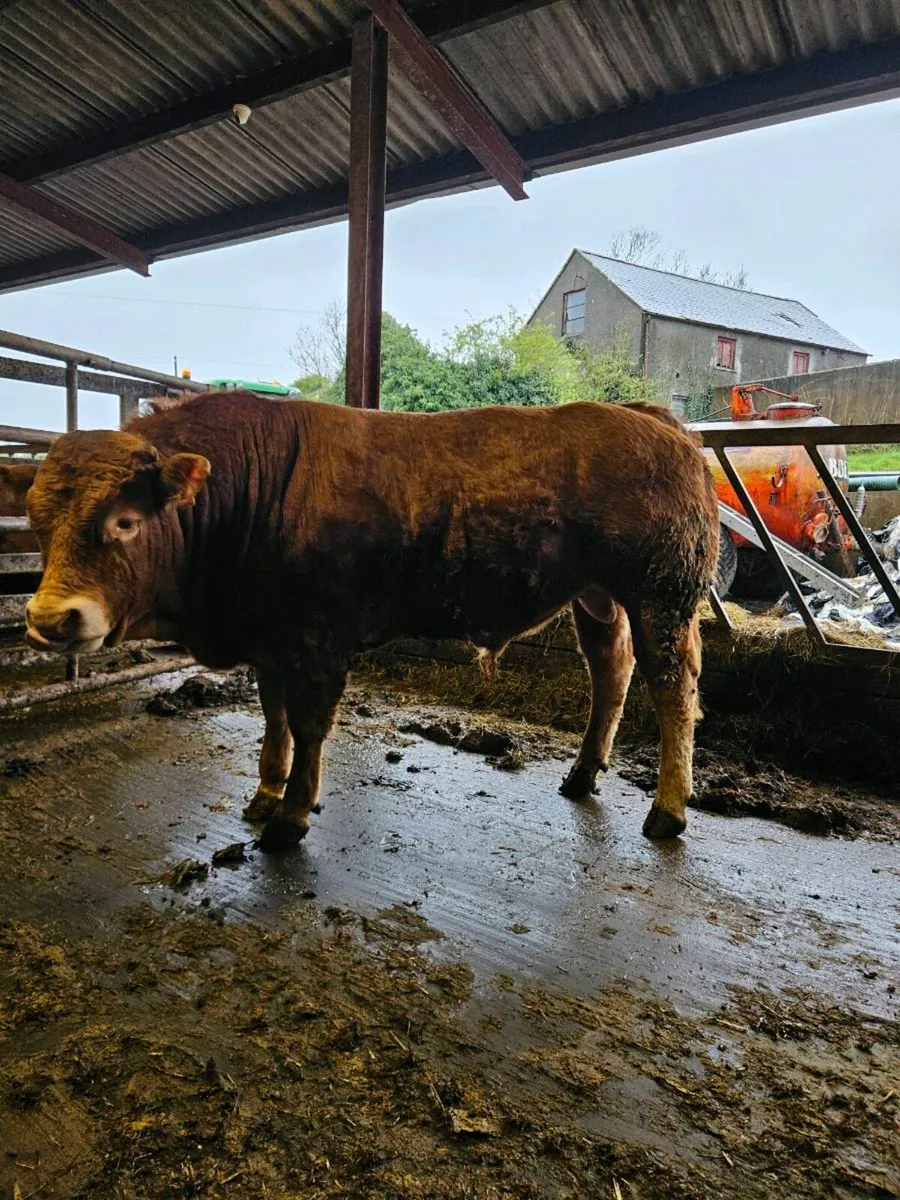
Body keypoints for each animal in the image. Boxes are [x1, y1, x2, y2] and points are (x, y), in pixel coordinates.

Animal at [23, 391, 718, 852]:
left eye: (124, 520)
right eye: (36, 520)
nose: (50, 618)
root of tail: (649, 416)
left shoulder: (317, 639)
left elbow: (307, 723)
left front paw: (290, 817)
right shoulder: (271, 640)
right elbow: (273, 715)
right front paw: (264, 795)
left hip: (663, 596)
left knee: (672, 688)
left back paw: (667, 810)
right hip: (598, 598)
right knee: (611, 670)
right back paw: (581, 775)